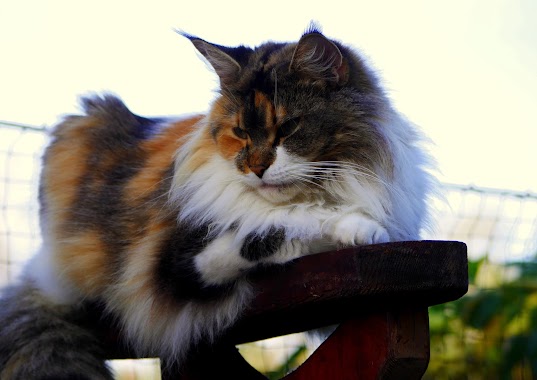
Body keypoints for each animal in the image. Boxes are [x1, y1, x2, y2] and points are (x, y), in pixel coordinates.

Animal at [0, 25, 432, 378]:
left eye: (288, 127)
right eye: (239, 132)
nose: (256, 169)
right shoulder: (185, 261)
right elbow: (283, 227)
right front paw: (359, 229)